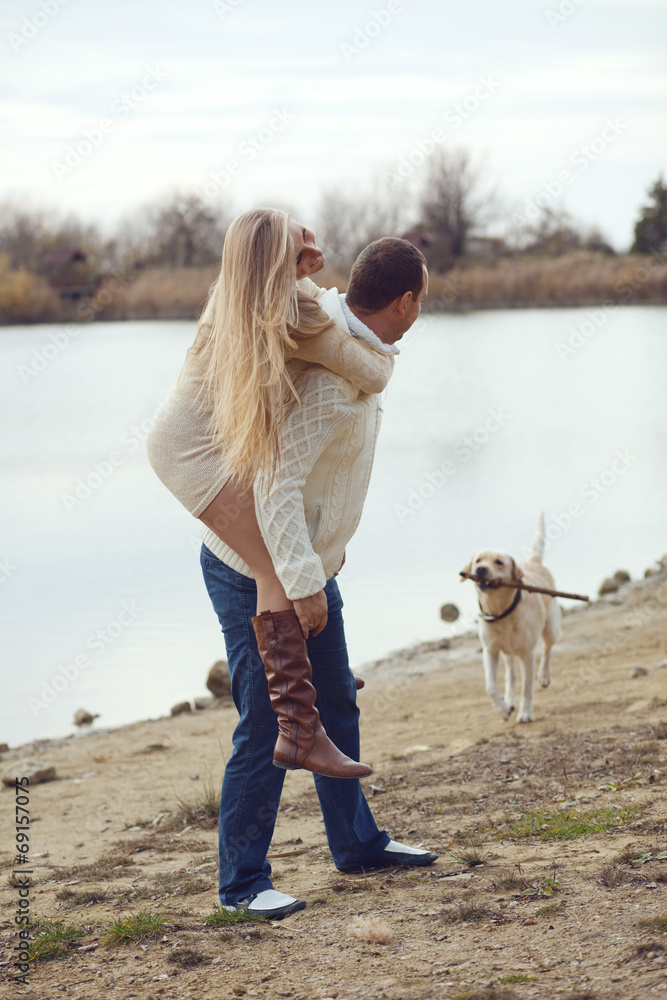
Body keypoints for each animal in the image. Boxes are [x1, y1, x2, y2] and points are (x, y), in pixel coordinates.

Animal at [462, 516, 560, 720]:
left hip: (551, 628)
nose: (481, 569)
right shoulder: (490, 651)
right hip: (506, 651)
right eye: (478, 560)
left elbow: (527, 687)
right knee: (510, 673)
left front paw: (525, 713)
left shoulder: (528, 654)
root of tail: (534, 563)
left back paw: (544, 676)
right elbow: (490, 687)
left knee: (547, 648)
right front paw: (503, 709)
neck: (501, 611)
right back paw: (509, 699)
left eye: (499, 562)